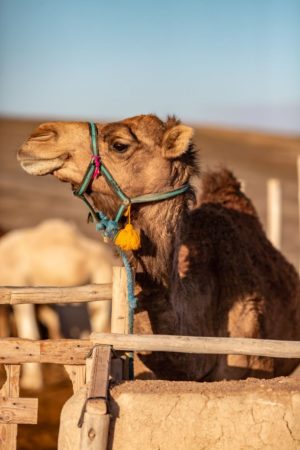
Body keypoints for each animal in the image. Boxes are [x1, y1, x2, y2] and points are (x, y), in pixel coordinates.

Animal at [0, 218, 117, 386]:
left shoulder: (17, 281)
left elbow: (29, 329)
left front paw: (31, 382)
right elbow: (49, 320)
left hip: (102, 271)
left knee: (98, 315)